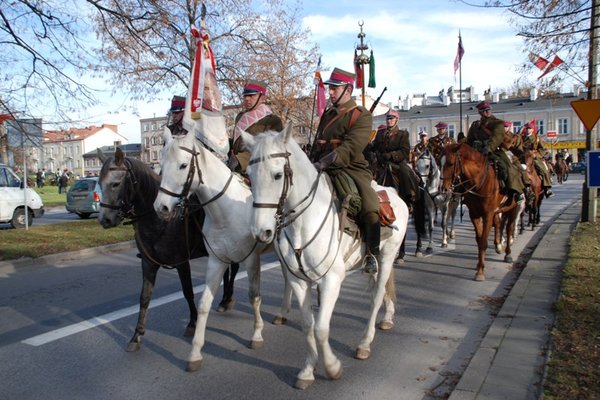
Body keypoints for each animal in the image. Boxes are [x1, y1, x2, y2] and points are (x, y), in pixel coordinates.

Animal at [98, 148, 239, 352]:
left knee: (234, 269)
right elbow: (144, 297)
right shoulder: (148, 263)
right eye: (99, 183)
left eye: (116, 183)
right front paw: (137, 335)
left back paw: (227, 299)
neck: (160, 218)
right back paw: (223, 300)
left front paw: (192, 323)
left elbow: (187, 291)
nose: (105, 220)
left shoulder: (181, 262)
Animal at [154, 130, 292, 372]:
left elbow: (254, 297)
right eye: (160, 166)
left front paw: (256, 335)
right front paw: (195, 352)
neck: (225, 211)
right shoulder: (216, 261)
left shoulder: (251, 260)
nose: (160, 207)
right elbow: (203, 305)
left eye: (183, 165)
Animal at [240, 126, 408, 390]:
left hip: (388, 255)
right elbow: (308, 325)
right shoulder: (299, 281)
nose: (261, 232)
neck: (303, 221)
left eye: (277, 175)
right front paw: (308, 370)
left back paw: (365, 343)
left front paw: (332, 367)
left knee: (376, 297)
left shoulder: (331, 280)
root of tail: (391, 192)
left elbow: (320, 328)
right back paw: (388, 317)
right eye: (249, 175)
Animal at [440, 144, 520, 282]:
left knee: (509, 228)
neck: (479, 182)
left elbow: (483, 241)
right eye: (439, 162)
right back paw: (498, 245)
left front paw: (480, 272)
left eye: (450, 163)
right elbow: (479, 240)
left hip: (512, 208)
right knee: (498, 223)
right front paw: (479, 266)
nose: (443, 188)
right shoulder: (475, 214)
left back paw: (508, 254)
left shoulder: (487, 214)